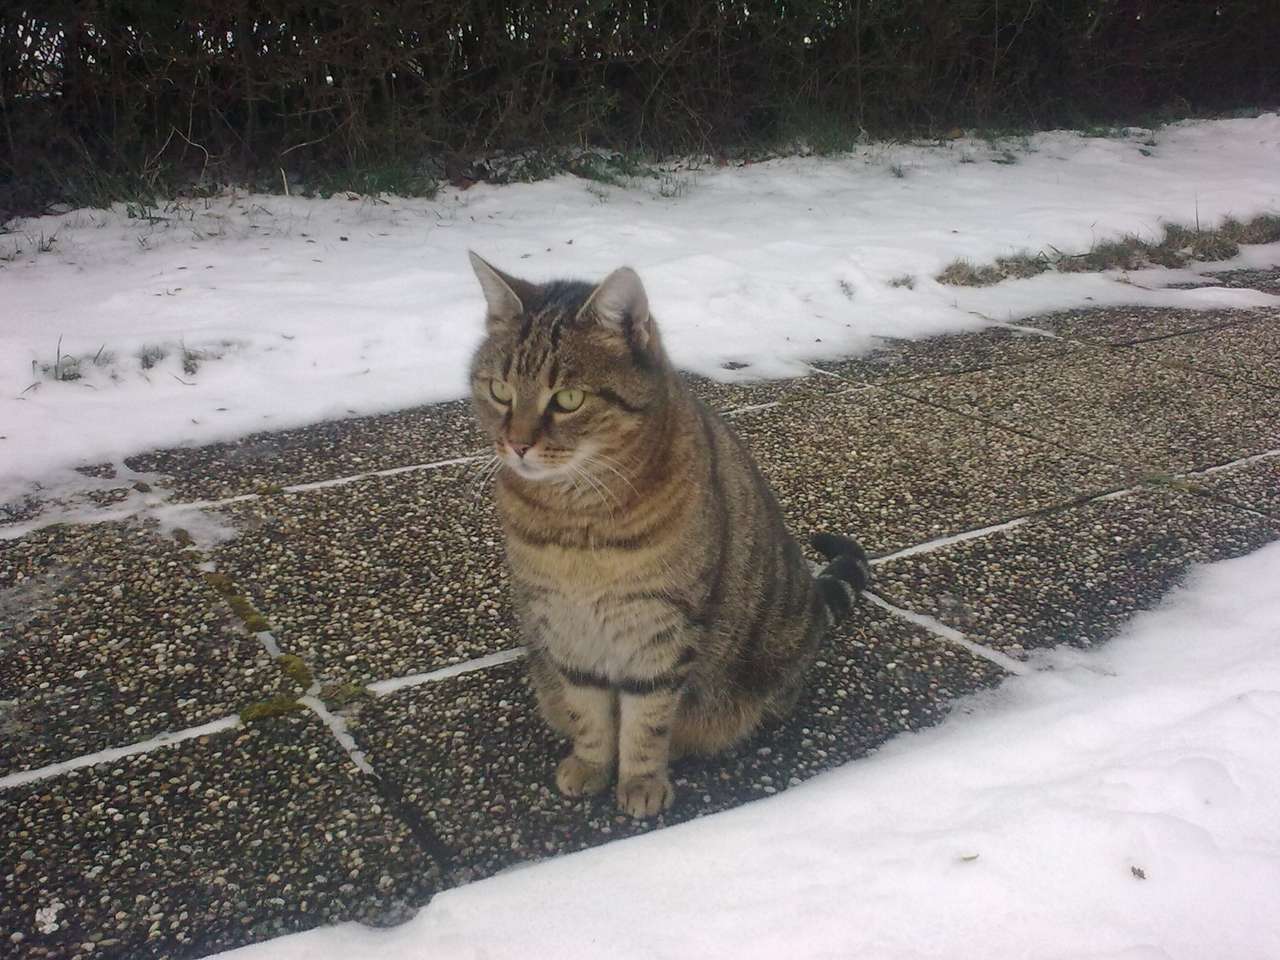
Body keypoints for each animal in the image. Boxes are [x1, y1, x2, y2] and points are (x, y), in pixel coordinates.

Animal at [468, 253, 870, 819]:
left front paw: (640, 780)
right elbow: (589, 711)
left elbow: (647, 718)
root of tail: (812, 603)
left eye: (567, 399)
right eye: (499, 391)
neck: (575, 518)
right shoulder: (563, 623)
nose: (516, 444)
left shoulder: (661, 625)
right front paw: (591, 764)